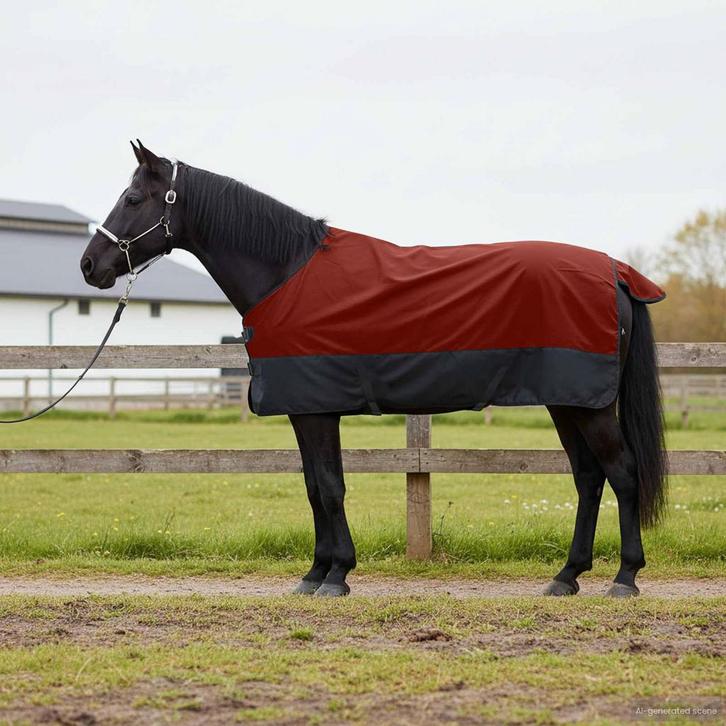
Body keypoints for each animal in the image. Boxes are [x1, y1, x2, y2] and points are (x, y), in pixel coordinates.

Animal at [80, 141, 667, 598]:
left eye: (132, 199)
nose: (90, 265)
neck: (285, 273)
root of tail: (615, 272)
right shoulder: (306, 410)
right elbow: (314, 486)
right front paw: (316, 572)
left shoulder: (317, 410)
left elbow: (330, 487)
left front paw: (336, 575)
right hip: (567, 402)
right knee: (588, 477)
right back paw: (567, 577)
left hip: (587, 405)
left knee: (622, 472)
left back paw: (624, 577)